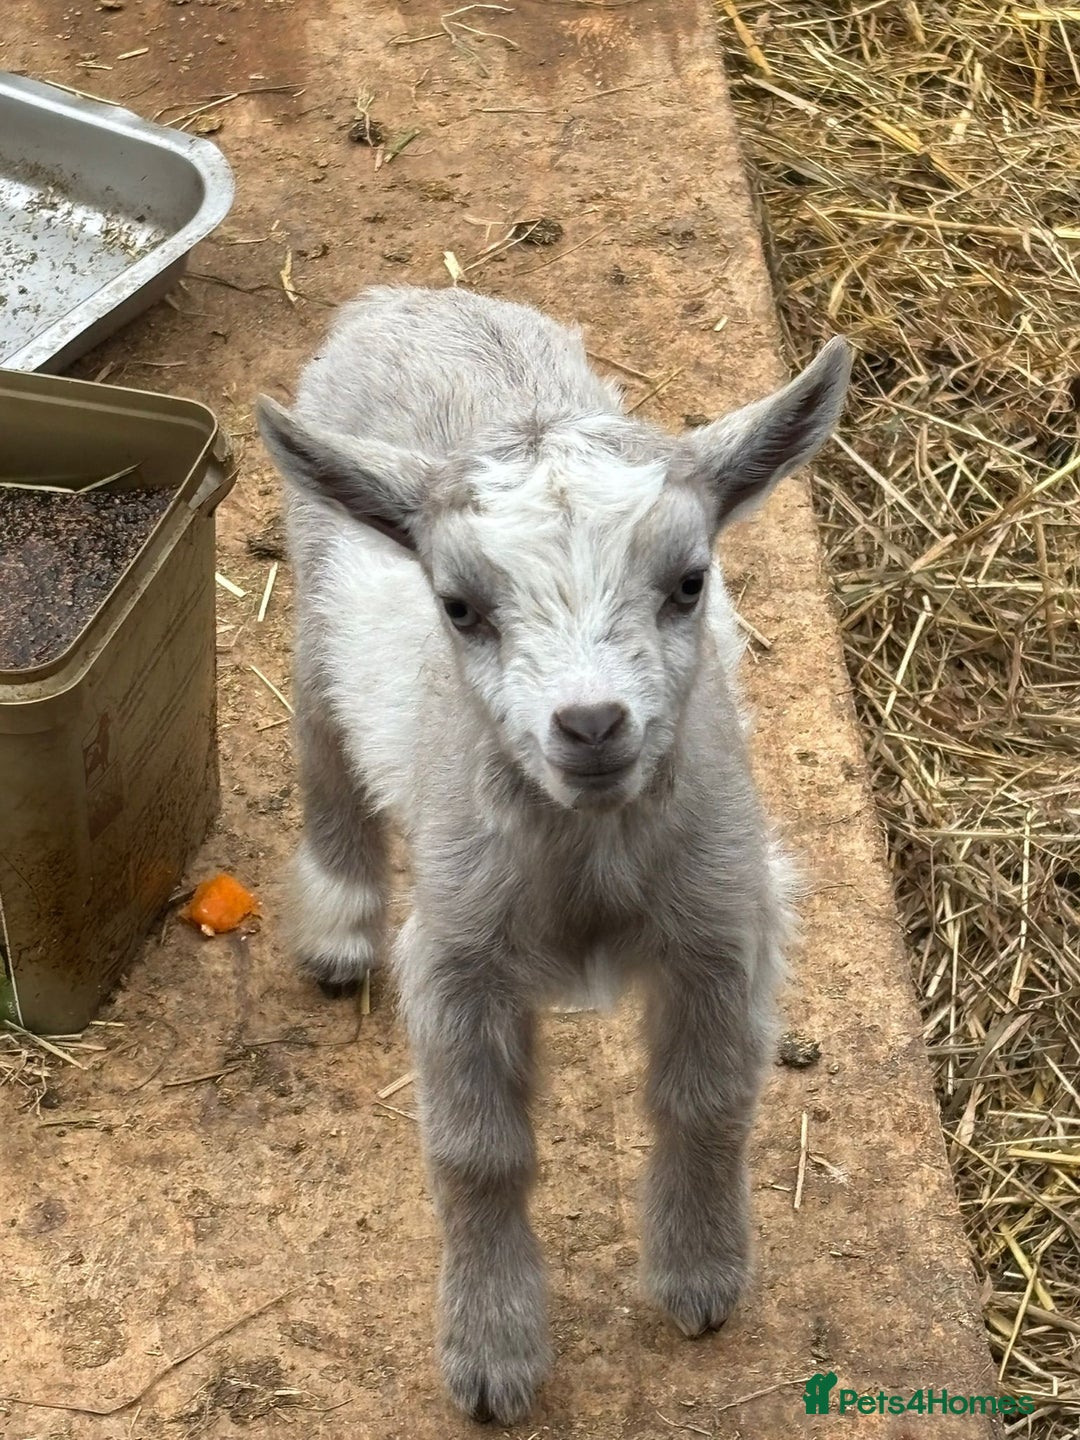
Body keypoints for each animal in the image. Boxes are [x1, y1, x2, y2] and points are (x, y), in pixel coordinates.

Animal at [256, 285, 850, 1424]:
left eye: (691, 581)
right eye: (458, 605)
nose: (591, 725)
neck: (590, 863)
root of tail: (407, 299)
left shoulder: (723, 924)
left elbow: (708, 1104)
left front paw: (700, 1282)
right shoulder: (456, 958)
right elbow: (476, 1157)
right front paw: (491, 1357)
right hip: (313, 624)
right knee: (326, 762)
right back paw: (340, 931)